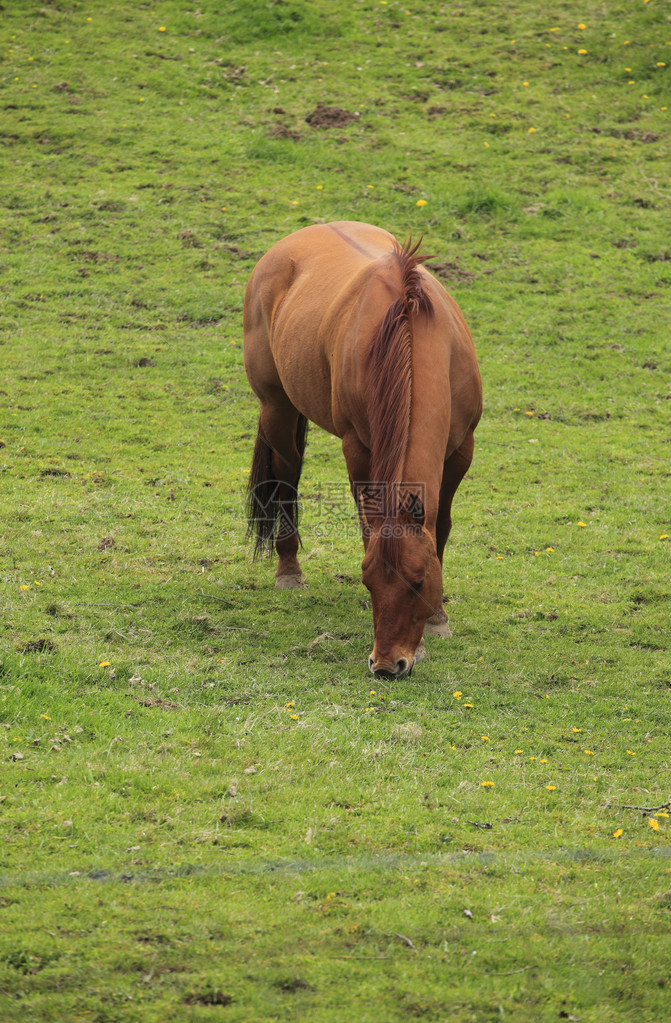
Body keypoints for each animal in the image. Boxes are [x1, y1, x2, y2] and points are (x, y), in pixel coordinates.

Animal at [243, 219, 478, 675]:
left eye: (420, 581)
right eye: (368, 581)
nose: (387, 665)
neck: (410, 330)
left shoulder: (462, 451)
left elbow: (440, 527)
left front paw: (438, 619)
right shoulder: (358, 448)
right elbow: (367, 523)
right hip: (277, 407)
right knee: (287, 476)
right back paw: (288, 570)